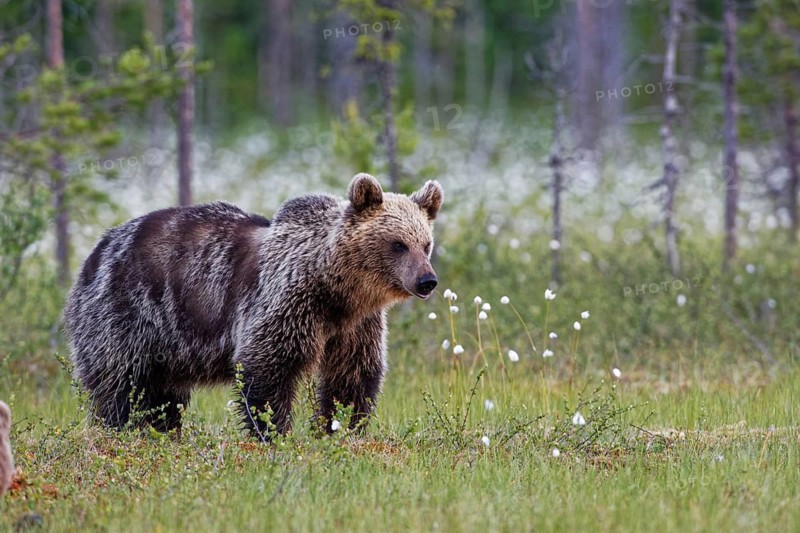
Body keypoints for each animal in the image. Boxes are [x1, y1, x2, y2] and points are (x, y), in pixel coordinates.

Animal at [64, 173, 443, 438]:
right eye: (398, 244)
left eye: (425, 244)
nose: (427, 280)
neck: (336, 289)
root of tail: (95, 250)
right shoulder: (285, 302)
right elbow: (267, 368)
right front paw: (273, 431)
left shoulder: (356, 324)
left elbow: (352, 375)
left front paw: (342, 427)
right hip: (125, 312)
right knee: (121, 383)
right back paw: (121, 427)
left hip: (167, 346)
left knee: (164, 394)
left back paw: (164, 429)